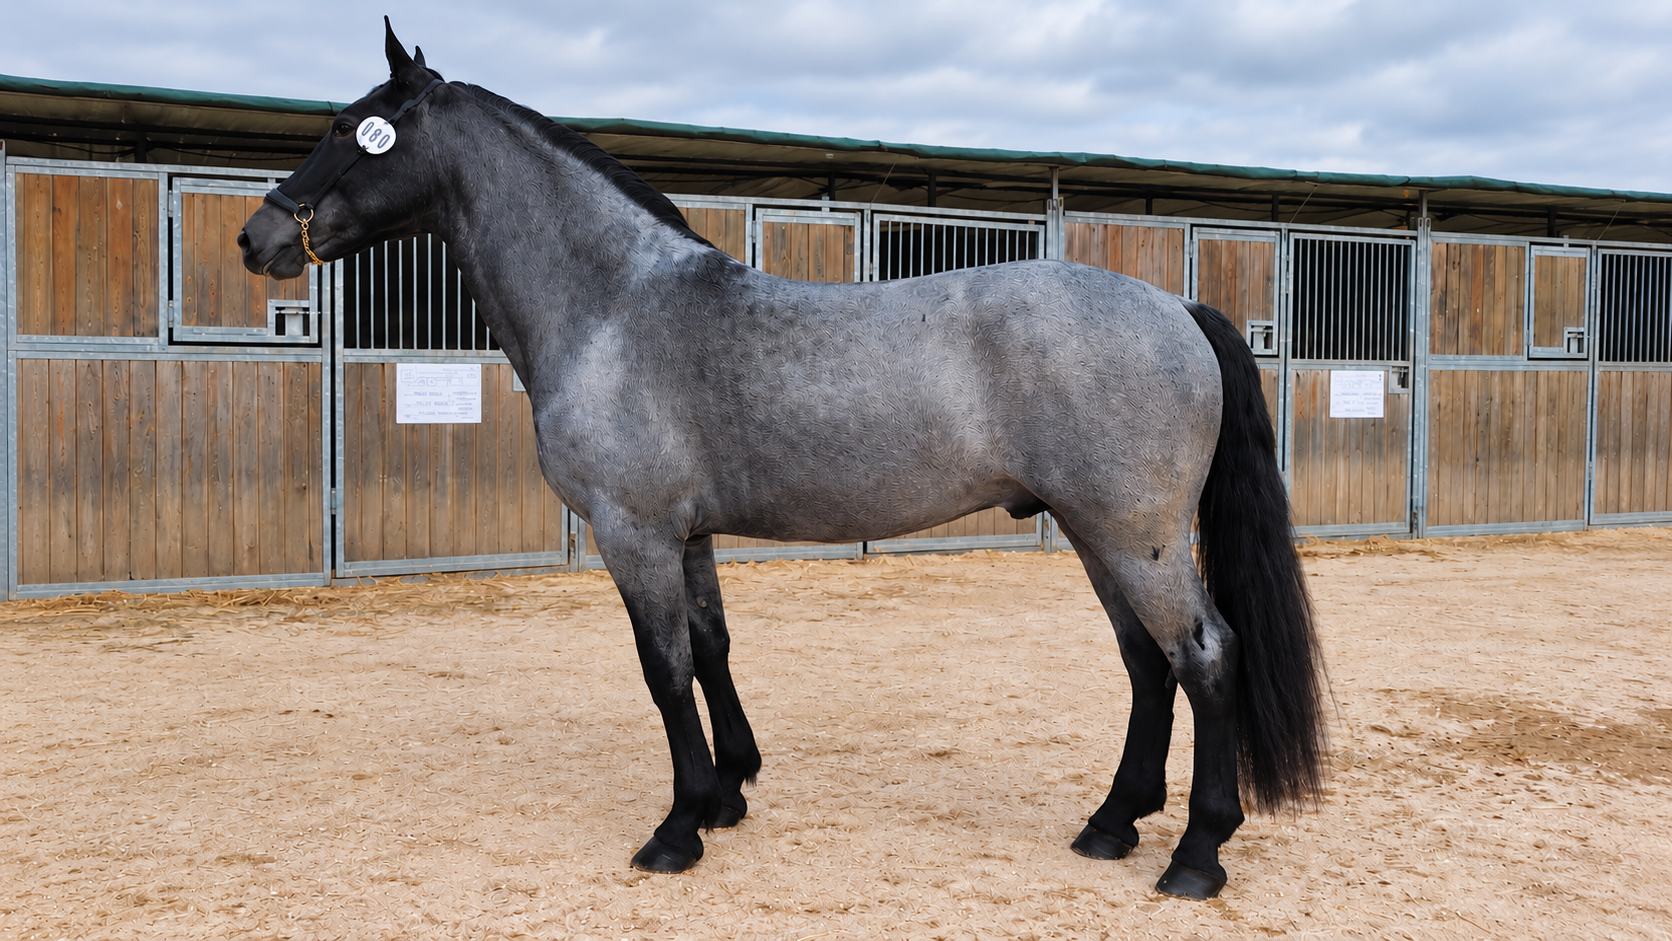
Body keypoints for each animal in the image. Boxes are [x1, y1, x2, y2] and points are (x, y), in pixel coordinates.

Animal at [239, 20, 1326, 900]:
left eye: (349, 126)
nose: (258, 236)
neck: (614, 305)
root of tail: (1175, 305)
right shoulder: (687, 534)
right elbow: (712, 649)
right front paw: (729, 792)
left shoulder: (634, 533)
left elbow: (664, 670)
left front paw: (677, 829)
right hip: (1103, 535)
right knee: (1148, 665)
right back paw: (1110, 824)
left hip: (1138, 536)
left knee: (1203, 656)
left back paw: (1195, 855)